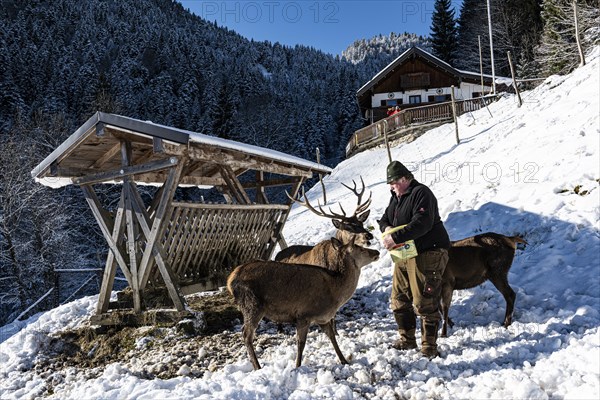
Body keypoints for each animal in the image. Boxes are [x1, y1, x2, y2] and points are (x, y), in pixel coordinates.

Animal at [227, 236, 378, 370]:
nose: (376, 252)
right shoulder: (304, 315)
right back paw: (257, 367)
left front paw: (344, 360)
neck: (335, 294)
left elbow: (332, 337)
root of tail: (230, 281)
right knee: (246, 334)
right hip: (252, 305)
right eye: (360, 248)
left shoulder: (322, 318)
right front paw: (297, 367)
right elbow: (301, 344)